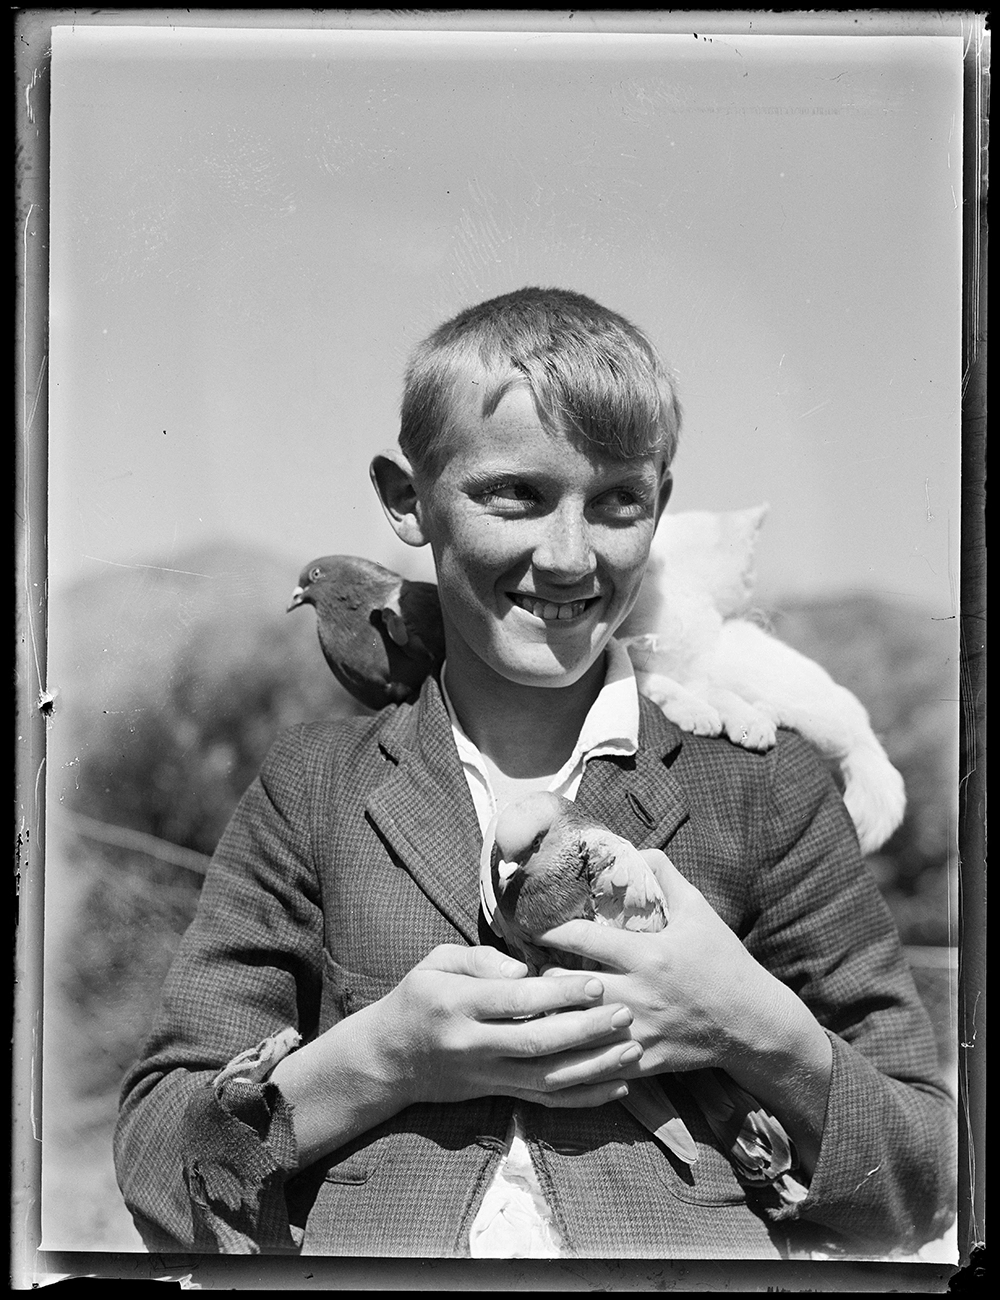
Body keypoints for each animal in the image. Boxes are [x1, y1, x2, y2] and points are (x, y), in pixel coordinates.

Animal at [616, 501, 905, 857]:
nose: (747, 600)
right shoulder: (643, 663)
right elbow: (660, 683)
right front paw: (695, 711)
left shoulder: (700, 668)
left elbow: (710, 691)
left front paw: (738, 719)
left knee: (837, 735)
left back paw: (767, 713)